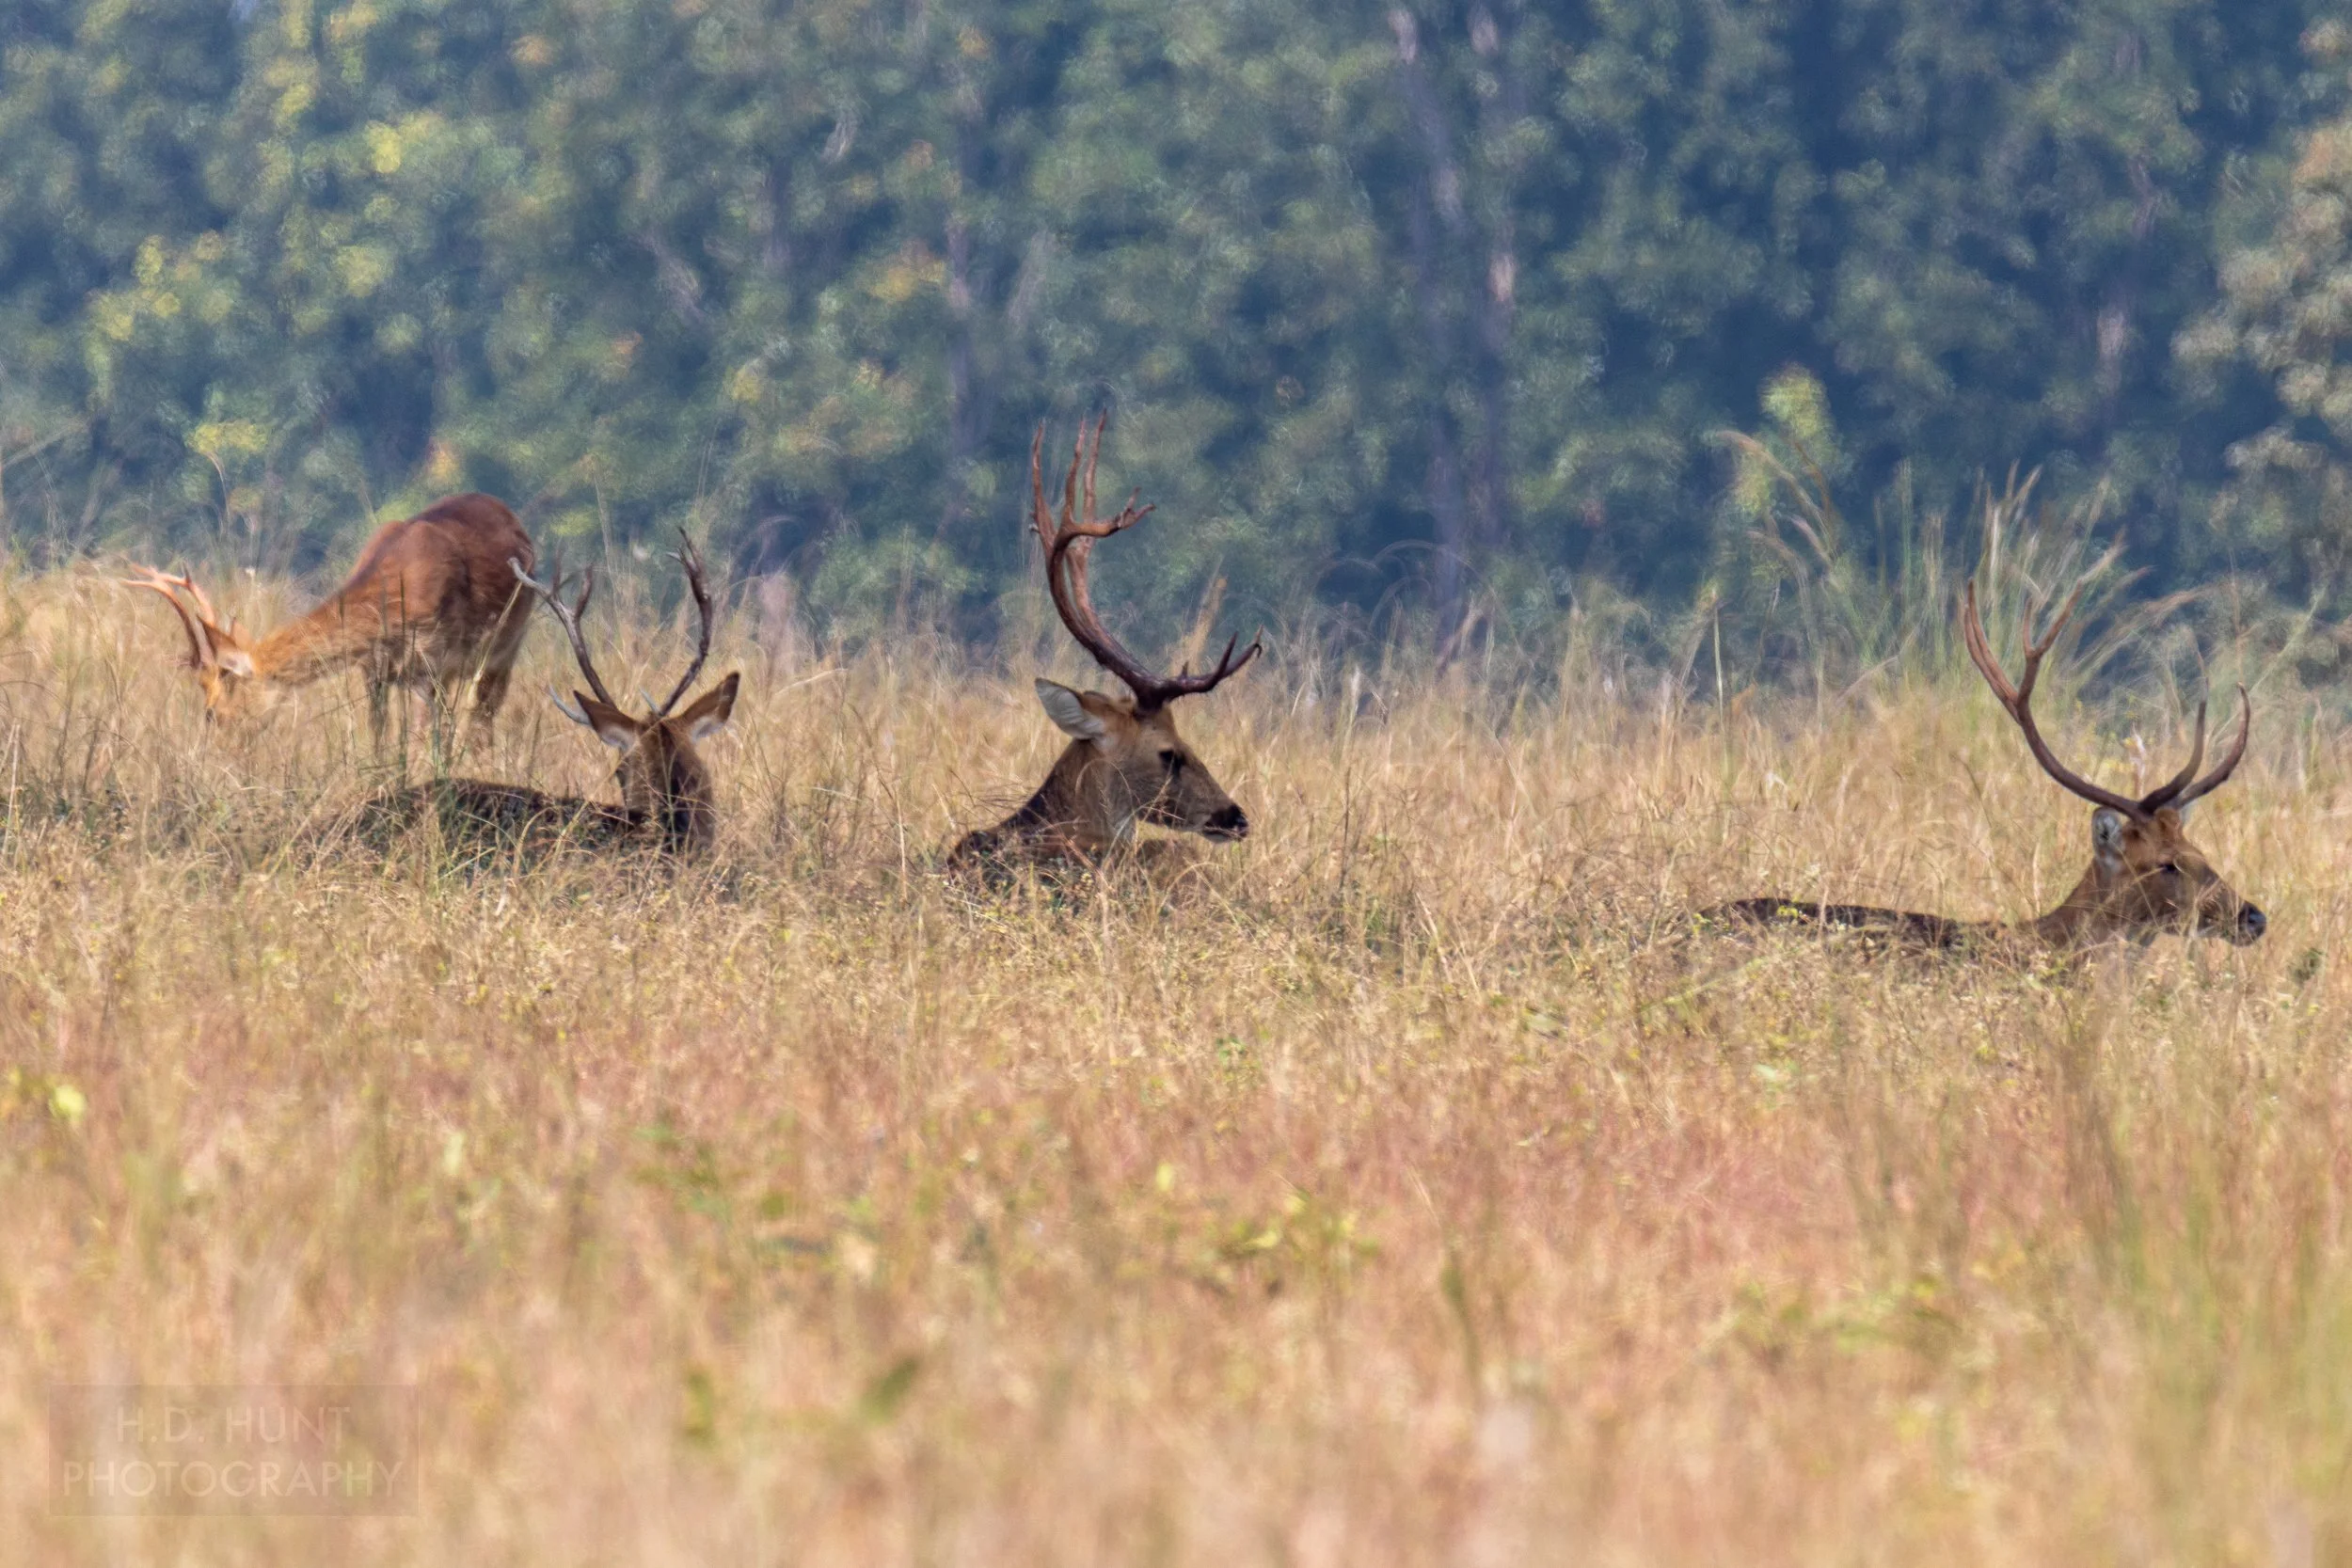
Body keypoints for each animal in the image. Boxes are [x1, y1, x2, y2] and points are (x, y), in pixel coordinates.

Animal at [123, 492, 536, 751]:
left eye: (211, 713)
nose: (217, 753)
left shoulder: (429, 663)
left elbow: (420, 744)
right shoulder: (374, 671)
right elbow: (379, 739)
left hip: (505, 646)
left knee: (482, 721)